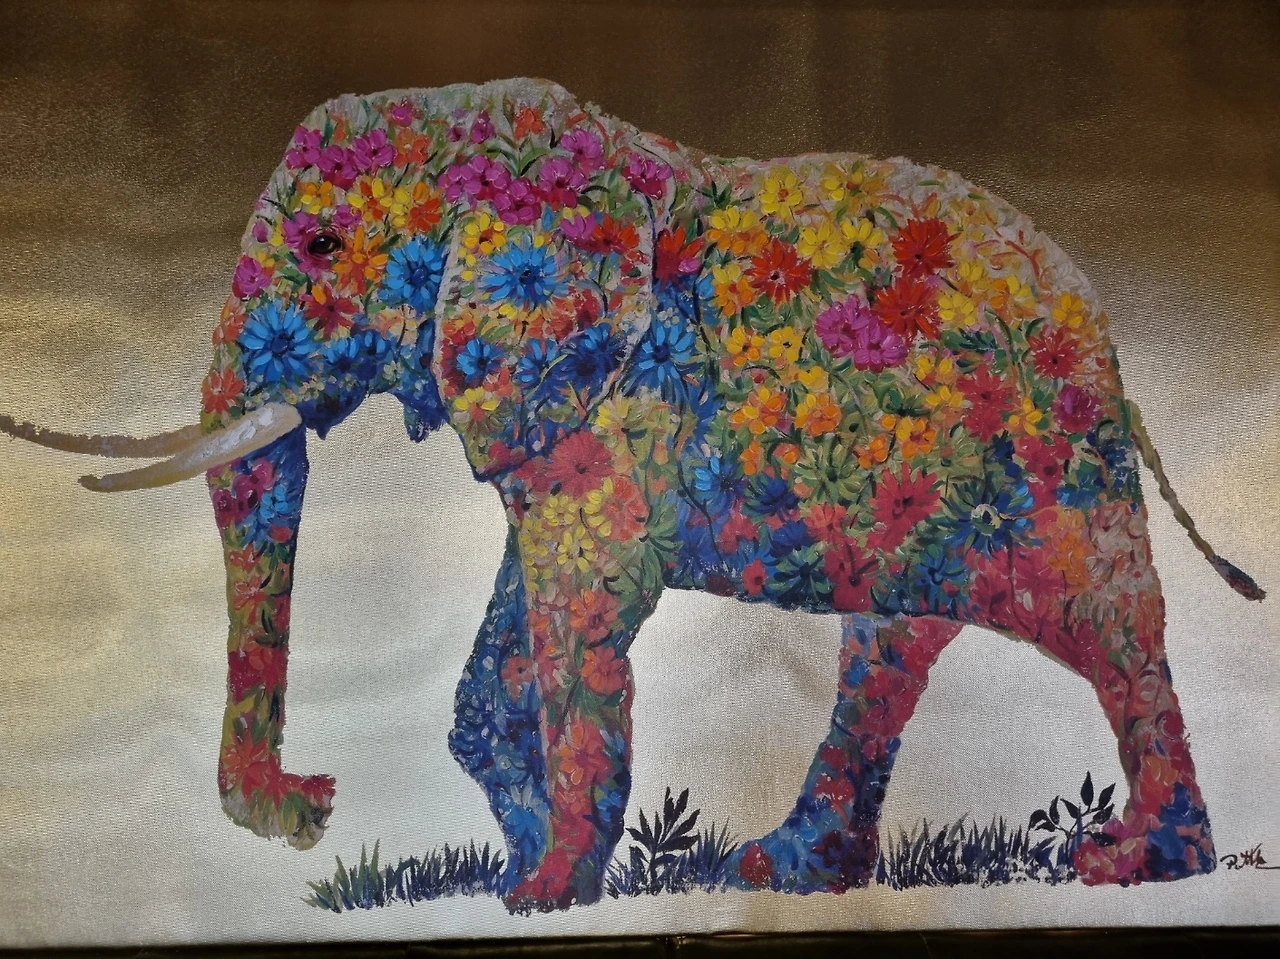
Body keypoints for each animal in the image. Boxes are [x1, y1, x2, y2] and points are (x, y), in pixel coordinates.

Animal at [1, 77, 1265, 912]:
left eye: (317, 244)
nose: (311, 804)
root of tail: (1096, 321)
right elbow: (510, 642)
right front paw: (525, 868)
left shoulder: (613, 413)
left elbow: (581, 611)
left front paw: (542, 891)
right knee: (894, 639)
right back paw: (785, 868)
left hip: (1046, 453)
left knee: (1104, 626)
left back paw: (1135, 863)